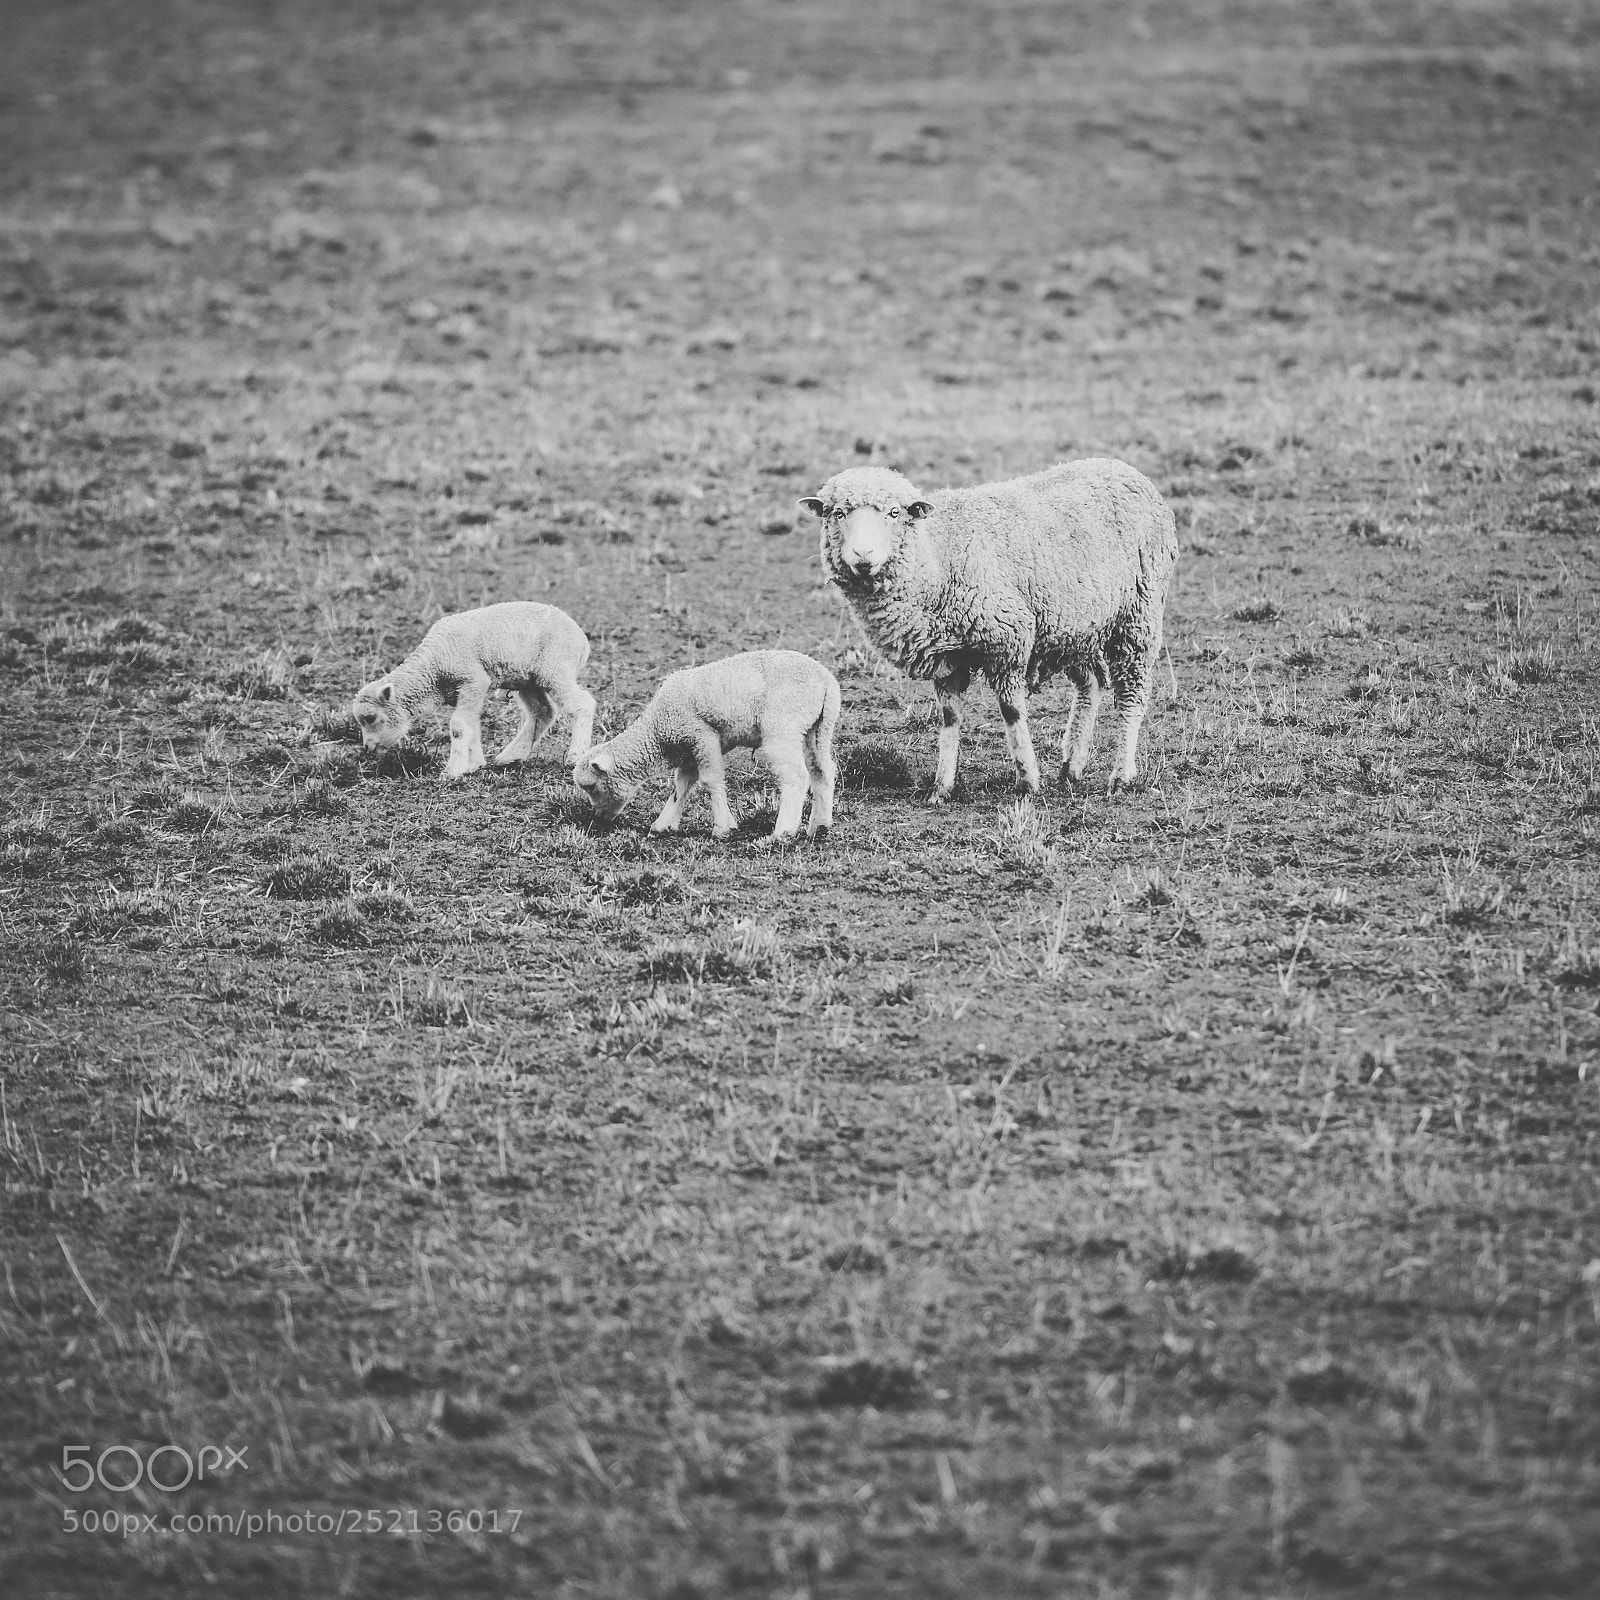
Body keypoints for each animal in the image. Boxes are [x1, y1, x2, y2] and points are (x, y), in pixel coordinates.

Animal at [351, 601, 595, 780]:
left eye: (371, 718)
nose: (367, 748)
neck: (433, 666)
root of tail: (582, 639)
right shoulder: (467, 690)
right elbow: (472, 724)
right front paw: (474, 764)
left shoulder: (472, 680)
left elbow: (459, 726)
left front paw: (452, 771)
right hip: (527, 679)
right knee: (542, 712)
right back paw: (510, 756)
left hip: (555, 668)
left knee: (582, 704)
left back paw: (575, 756)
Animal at [572, 650, 840, 842]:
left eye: (591, 787)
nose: (598, 819)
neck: (658, 730)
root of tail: (826, 681)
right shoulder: (690, 747)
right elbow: (681, 786)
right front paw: (663, 825)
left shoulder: (702, 736)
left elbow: (710, 781)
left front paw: (724, 828)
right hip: (818, 729)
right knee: (822, 772)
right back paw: (819, 826)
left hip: (783, 727)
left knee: (796, 777)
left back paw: (781, 833)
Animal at [797, 459, 1176, 800]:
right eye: (837, 513)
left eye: (893, 513)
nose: (863, 556)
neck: (937, 558)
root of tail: (1127, 470)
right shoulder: (946, 658)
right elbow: (949, 718)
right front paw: (941, 787)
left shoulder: (1008, 641)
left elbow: (1011, 712)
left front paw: (1028, 781)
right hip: (1073, 627)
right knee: (1092, 684)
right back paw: (1071, 768)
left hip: (1138, 614)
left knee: (1130, 695)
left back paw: (1121, 776)